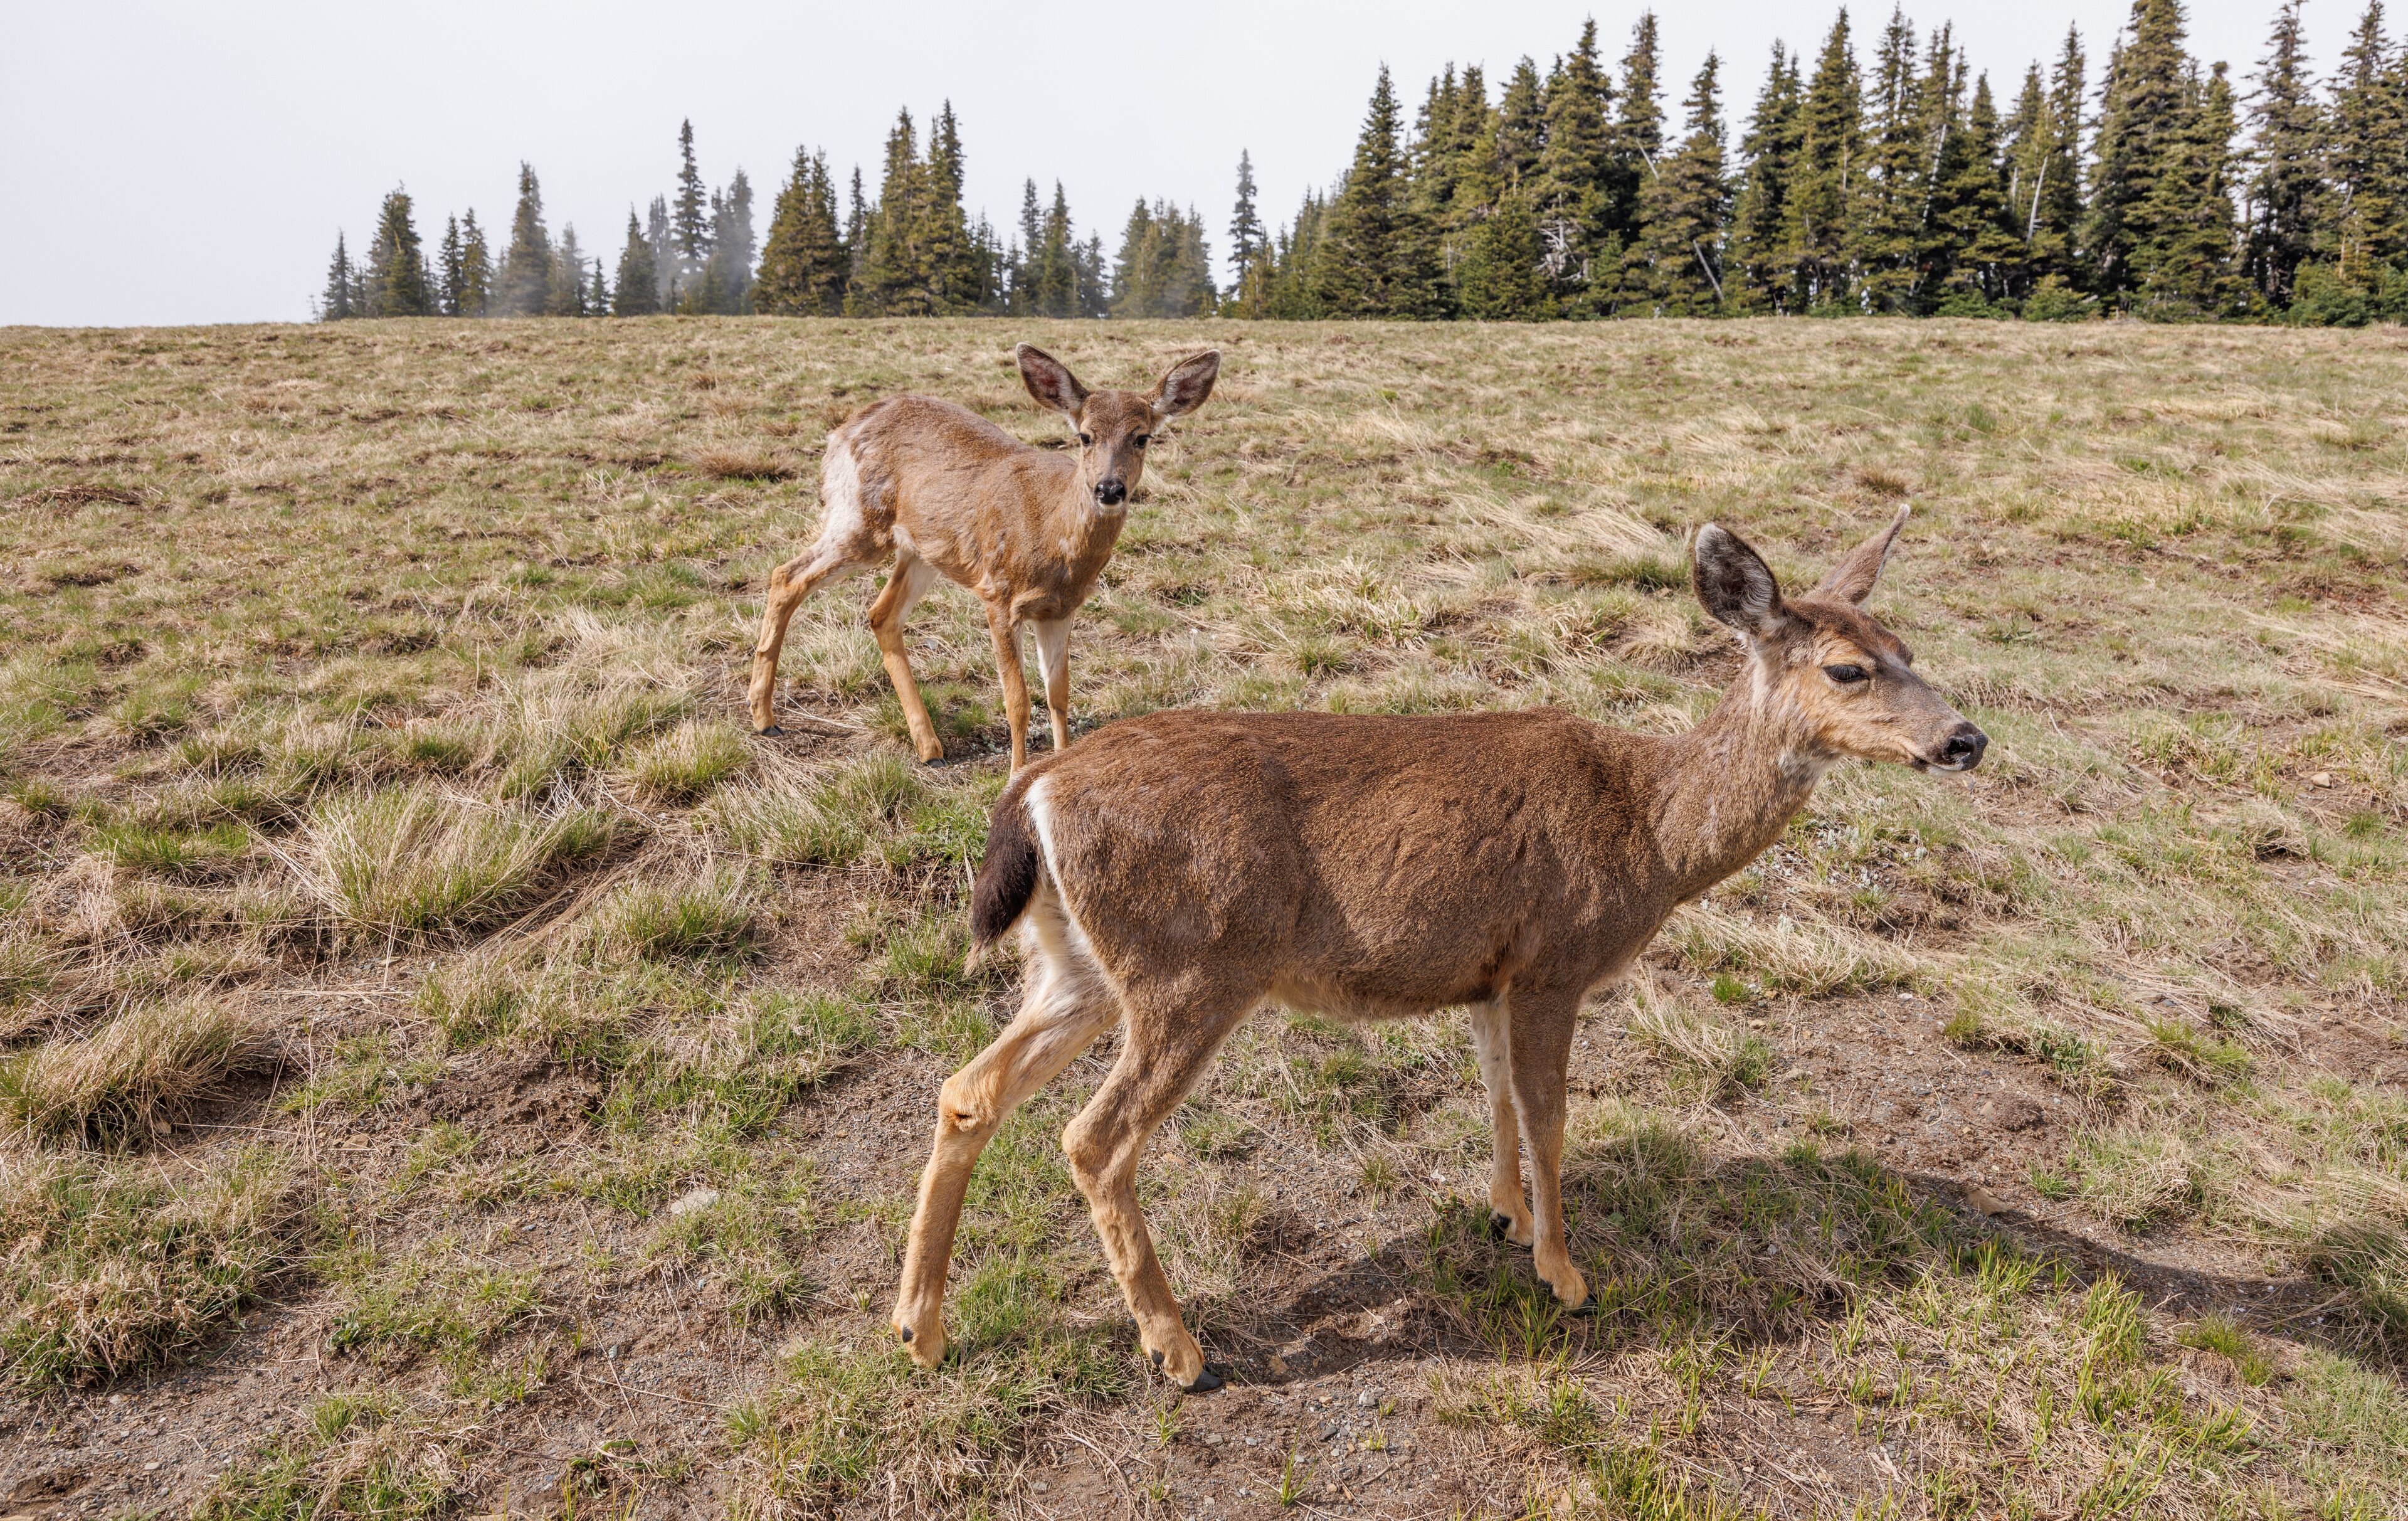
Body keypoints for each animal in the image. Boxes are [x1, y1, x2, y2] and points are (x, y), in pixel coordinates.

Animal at [746, 344, 1221, 771]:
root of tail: (843, 429)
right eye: (1085, 436)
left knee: (881, 614)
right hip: (860, 520)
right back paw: (764, 717)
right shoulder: (998, 593)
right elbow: (1018, 701)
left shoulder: (1060, 610)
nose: (1108, 488)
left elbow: (1059, 696)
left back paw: (929, 748)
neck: (1055, 541)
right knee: (786, 575)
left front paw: (1060, 767)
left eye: (1142, 437)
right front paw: (1015, 777)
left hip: (923, 549)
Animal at [888, 508, 1986, 1391]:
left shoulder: (1491, 973)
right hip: (1190, 966)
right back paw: (1178, 1348)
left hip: (1077, 963)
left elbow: (1496, 1095)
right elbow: (1550, 1117)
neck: (1654, 832)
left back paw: (920, 1330)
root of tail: (1032, 795)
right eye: (1847, 667)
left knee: (968, 1089)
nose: (1966, 738)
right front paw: (1566, 1274)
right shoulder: (1554, 959)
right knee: (1092, 1137)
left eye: (1907, 644)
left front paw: (1504, 1217)